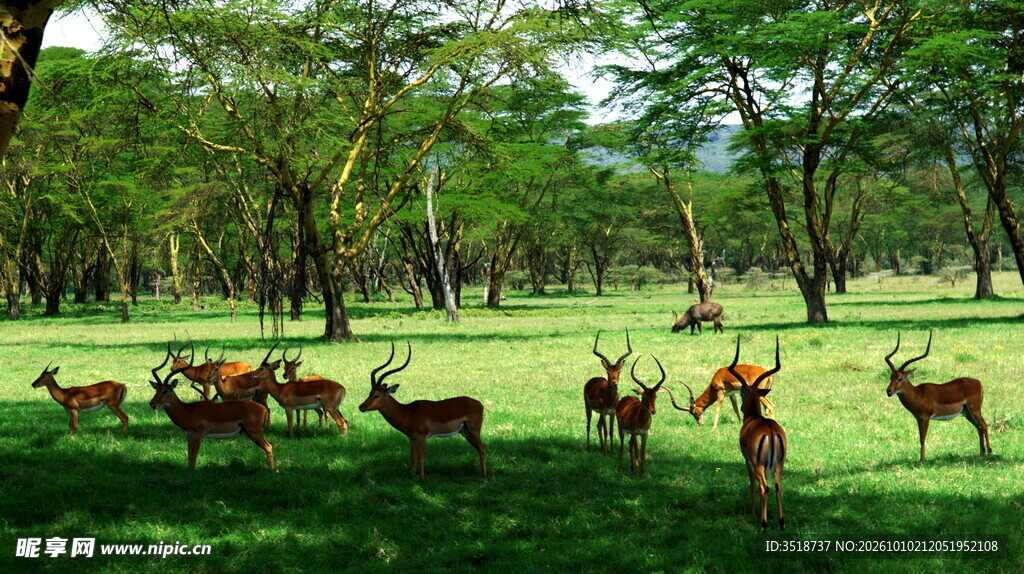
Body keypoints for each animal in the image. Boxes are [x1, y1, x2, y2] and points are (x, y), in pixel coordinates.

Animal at [358, 342, 486, 478]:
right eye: (370, 393)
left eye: (376, 395)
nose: (361, 407)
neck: (408, 412)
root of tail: (479, 403)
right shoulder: (412, 438)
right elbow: (413, 459)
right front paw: (413, 477)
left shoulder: (422, 437)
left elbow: (421, 459)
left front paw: (422, 478)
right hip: (465, 432)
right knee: (479, 449)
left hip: (474, 430)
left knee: (482, 449)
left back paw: (484, 476)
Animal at [728, 334, 786, 531]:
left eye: (742, 393)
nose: (742, 408)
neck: (754, 418)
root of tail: (770, 430)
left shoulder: (748, 461)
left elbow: (751, 484)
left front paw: (753, 512)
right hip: (779, 464)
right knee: (777, 487)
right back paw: (781, 524)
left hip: (760, 464)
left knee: (764, 487)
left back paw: (763, 525)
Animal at [885, 331, 991, 463]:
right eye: (891, 377)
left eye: (900, 378)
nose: (888, 391)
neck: (918, 394)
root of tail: (979, 383)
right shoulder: (918, 419)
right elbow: (920, 438)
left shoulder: (925, 418)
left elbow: (922, 439)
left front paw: (922, 461)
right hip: (966, 412)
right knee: (979, 427)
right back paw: (981, 454)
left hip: (975, 409)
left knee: (984, 426)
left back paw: (990, 453)